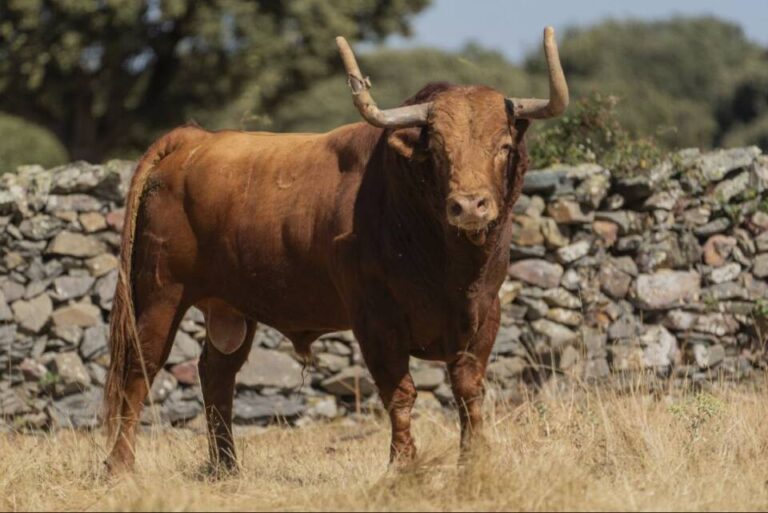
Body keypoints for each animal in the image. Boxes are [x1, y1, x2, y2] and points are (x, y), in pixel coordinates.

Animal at [105, 26, 568, 470]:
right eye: (436, 149)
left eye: (504, 147)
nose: (469, 205)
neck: (449, 266)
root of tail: (191, 137)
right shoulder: (376, 320)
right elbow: (400, 393)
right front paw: (402, 466)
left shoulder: (485, 313)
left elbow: (469, 391)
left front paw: (474, 460)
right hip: (159, 294)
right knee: (138, 371)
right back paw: (121, 466)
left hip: (231, 307)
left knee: (217, 372)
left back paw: (225, 467)